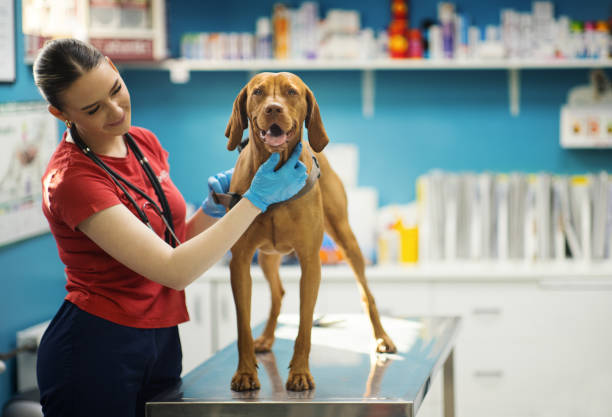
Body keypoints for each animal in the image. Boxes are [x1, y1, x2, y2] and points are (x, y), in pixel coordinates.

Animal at [225, 70, 396, 390]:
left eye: (291, 92)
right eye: (258, 92)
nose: (273, 109)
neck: (275, 173)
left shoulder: (309, 261)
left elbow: (305, 324)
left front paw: (300, 372)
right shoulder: (240, 262)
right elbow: (242, 325)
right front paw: (245, 372)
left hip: (346, 239)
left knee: (367, 294)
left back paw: (382, 338)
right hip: (267, 257)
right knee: (278, 293)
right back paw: (266, 337)